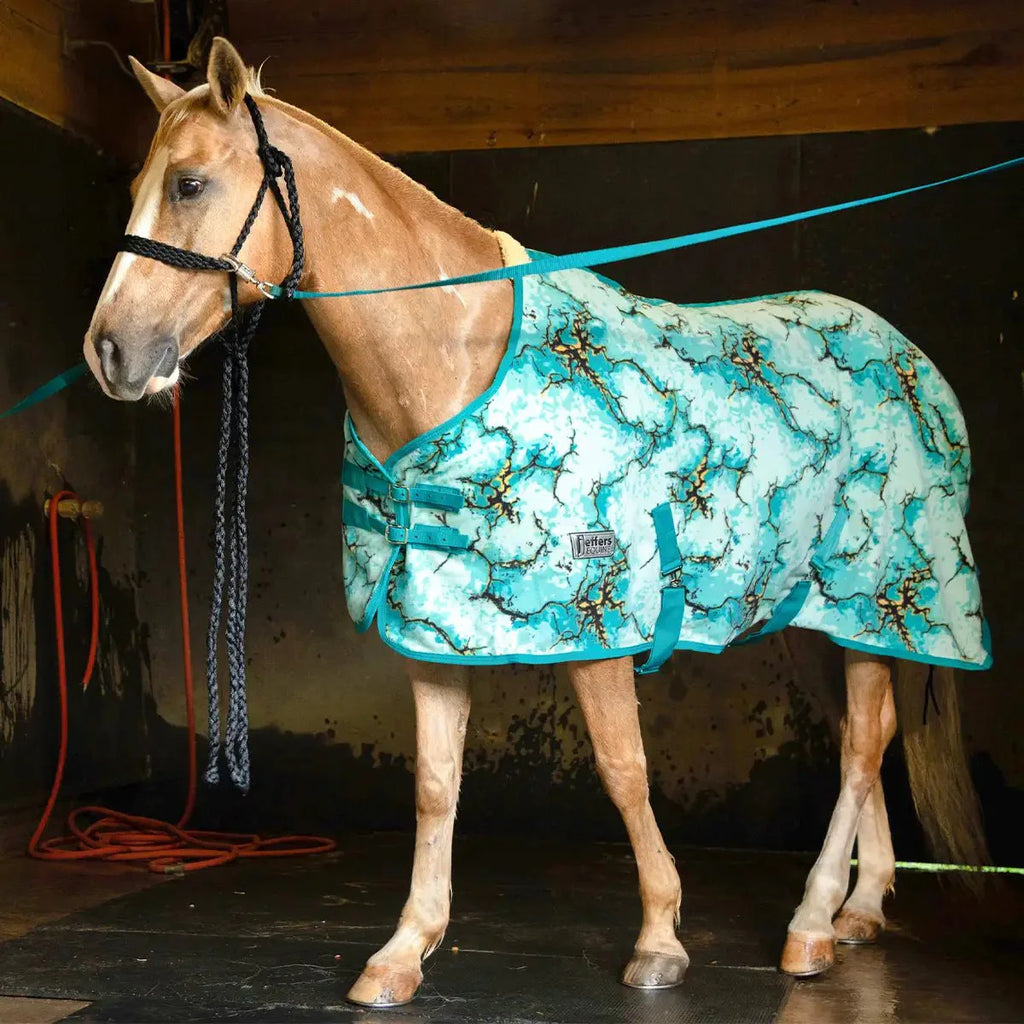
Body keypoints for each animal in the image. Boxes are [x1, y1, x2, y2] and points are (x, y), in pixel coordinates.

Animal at [83, 37, 991, 1006]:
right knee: (876, 738)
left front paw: (661, 938)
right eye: (136, 182)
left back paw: (813, 925)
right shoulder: (432, 626)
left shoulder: (598, 622)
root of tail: (911, 359)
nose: (109, 352)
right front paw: (404, 951)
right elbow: (436, 786)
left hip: (875, 596)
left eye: (188, 184)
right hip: (814, 618)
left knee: (861, 746)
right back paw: (860, 909)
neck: (456, 354)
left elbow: (623, 771)